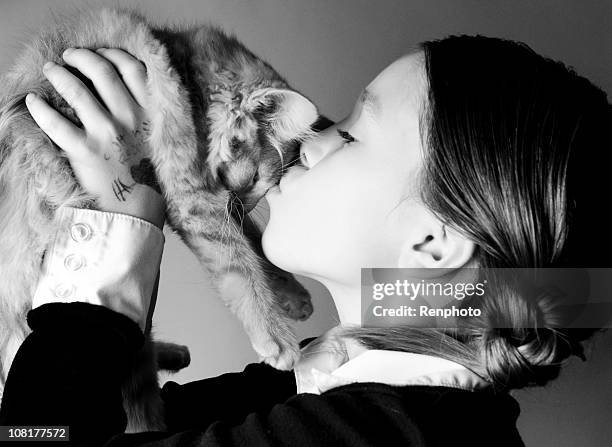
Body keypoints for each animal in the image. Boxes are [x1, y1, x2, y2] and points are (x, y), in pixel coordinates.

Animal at [0, 7, 316, 432]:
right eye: (253, 179)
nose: (247, 204)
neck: (182, 71)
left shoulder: (210, 198)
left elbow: (256, 246)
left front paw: (292, 296)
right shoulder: (194, 197)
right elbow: (239, 264)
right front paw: (274, 335)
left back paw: (172, 354)